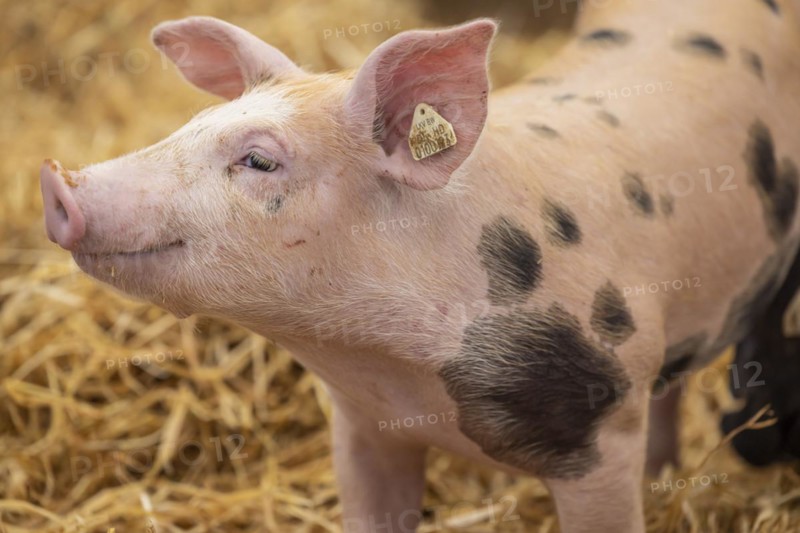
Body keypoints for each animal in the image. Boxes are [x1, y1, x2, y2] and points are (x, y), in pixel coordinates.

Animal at [39, 0, 800, 531]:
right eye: (189, 127)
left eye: (258, 159)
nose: (58, 180)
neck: (402, 374)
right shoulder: (363, 427)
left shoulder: (598, 429)